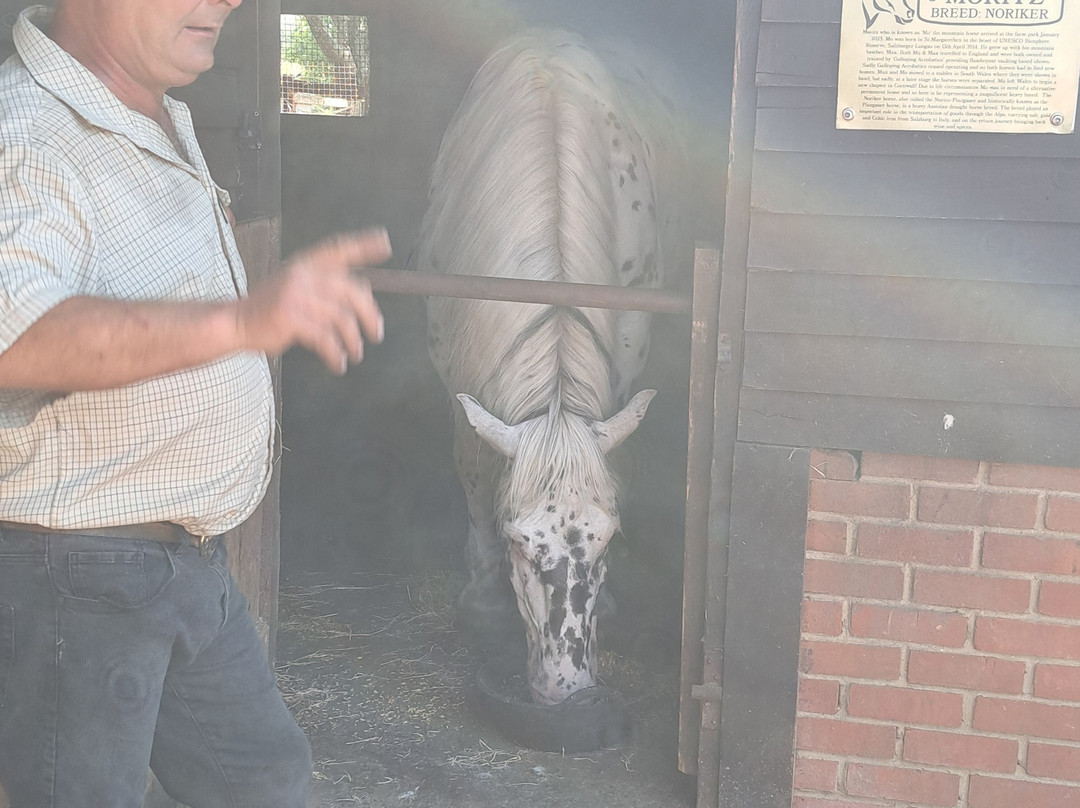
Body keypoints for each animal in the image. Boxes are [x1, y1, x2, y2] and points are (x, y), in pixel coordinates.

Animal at [416, 30, 682, 705]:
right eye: (518, 543)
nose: (569, 687)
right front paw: (481, 597)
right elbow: (475, 473)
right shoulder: (459, 387)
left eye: (609, 539)